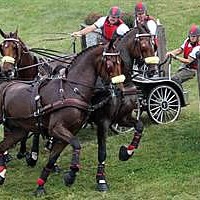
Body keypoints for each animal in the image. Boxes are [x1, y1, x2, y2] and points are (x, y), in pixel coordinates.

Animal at [0, 42, 125, 195]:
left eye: (120, 62)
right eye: (109, 64)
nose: (120, 89)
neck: (71, 90)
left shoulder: (70, 131)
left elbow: (53, 158)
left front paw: (41, 186)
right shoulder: (56, 129)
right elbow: (76, 144)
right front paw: (71, 174)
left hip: (19, 130)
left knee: (2, 147)